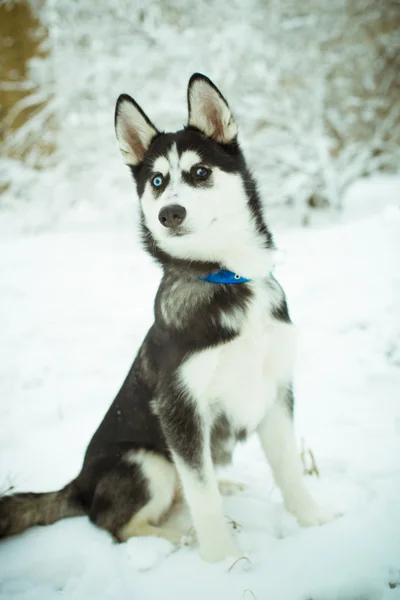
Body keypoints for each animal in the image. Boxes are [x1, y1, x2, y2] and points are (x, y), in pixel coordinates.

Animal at [0, 74, 332, 564]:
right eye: (157, 180)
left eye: (200, 173)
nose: (169, 213)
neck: (225, 276)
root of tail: (77, 484)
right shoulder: (180, 409)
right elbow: (202, 496)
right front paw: (224, 560)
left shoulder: (275, 390)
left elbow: (288, 468)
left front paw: (314, 522)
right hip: (145, 462)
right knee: (116, 524)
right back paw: (178, 540)